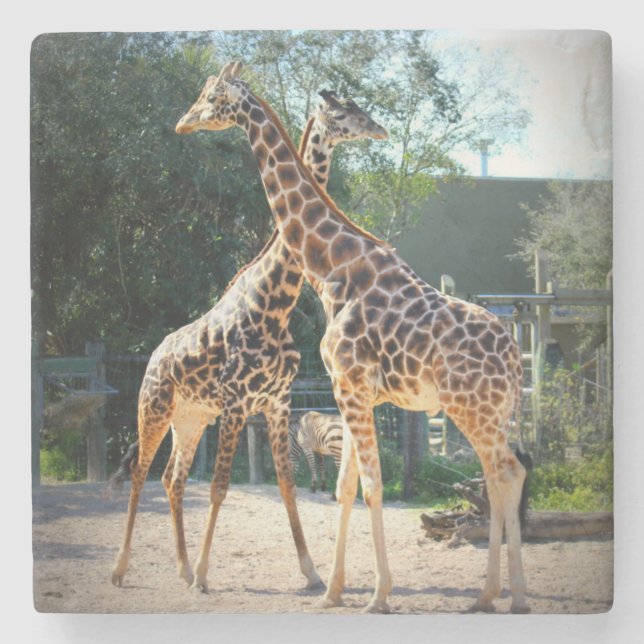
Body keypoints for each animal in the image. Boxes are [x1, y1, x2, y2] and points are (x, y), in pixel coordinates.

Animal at [109, 76, 388, 594]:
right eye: (343, 114)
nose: (378, 129)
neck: (275, 301)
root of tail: (153, 355)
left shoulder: (276, 403)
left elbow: (287, 484)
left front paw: (311, 572)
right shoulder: (238, 402)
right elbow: (220, 487)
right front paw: (204, 575)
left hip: (192, 417)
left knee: (172, 480)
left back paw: (179, 568)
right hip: (153, 408)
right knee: (139, 473)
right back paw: (122, 569)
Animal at [175, 61, 530, 614]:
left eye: (211, 96)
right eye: (346, 111)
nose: (182, 122)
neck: (330, 268)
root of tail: (516, 357)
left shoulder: (352, 387)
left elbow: (372, 488)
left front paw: (378, 595)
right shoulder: (349, 393)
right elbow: (346, 490)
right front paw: (333, 591)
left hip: (472, 408)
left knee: (508, 474)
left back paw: (510, 597)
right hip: (484, 413)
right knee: (497, 478)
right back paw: (488, 595)